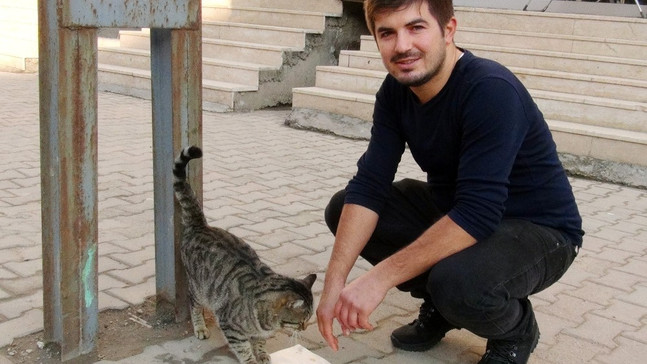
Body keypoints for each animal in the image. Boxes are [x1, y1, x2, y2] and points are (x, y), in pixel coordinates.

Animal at [171, 146, 316, 364]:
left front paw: (262, 354)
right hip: (199, 288)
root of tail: (201, 226)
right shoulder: (230, 327)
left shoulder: (260, 332)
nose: (305, 328)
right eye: (302, 320)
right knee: (193, 304)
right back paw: (200, 327)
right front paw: (251, 359)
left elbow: (260, 341)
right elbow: (243, 349)